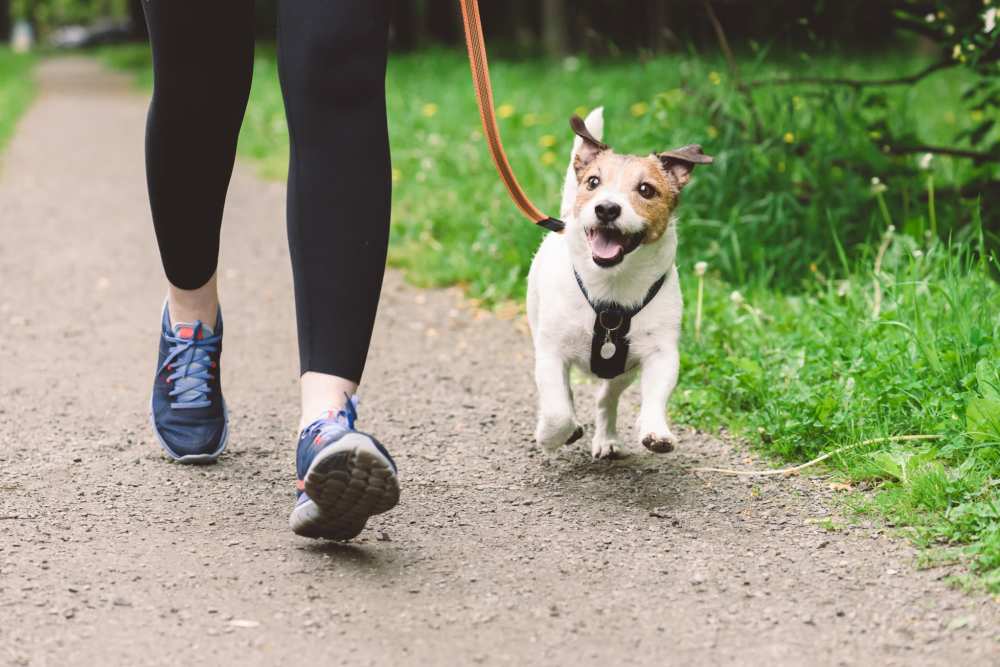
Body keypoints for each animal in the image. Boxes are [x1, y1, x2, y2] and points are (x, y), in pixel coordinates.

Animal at [524, 108, 712, 460]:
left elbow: (655, 396)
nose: (607, 208)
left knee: (605, 398)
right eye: (593, 182)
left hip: (622, 371)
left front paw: (656, 431)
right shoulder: (551, 352)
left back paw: (607, 438)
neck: (611, 289)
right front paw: (550, 435)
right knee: (565, 396)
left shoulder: (660, 354)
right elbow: (557, 410)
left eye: (646, 190)